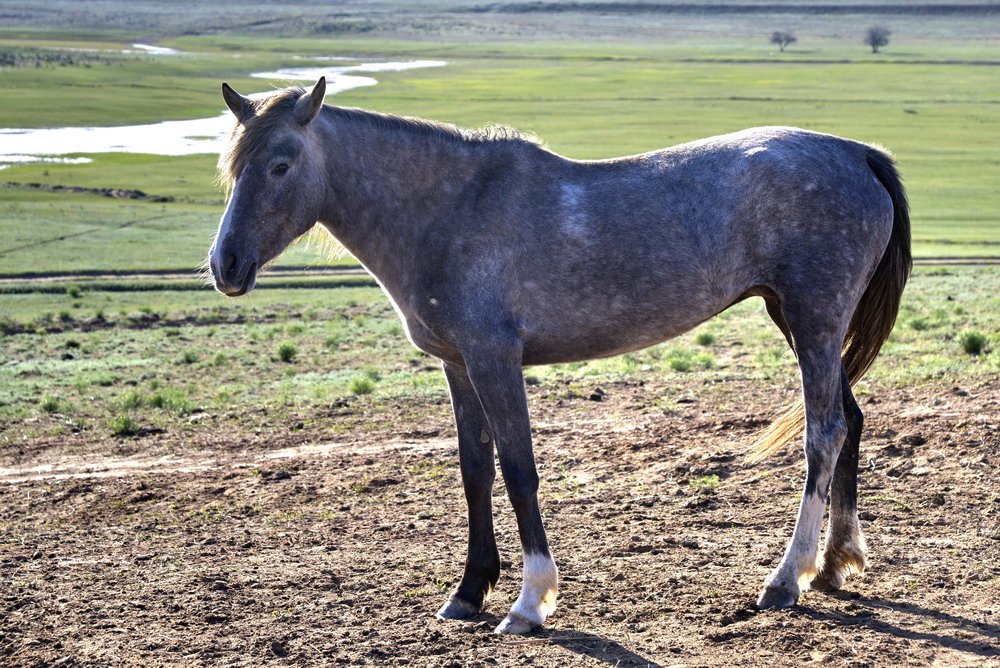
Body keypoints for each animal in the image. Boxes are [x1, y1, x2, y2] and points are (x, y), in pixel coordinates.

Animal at [207, 78, 912, 636]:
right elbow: (475, 472)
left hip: (814, 321)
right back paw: (836, 562)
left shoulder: (494, 359)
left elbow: (519, 470)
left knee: (823, 432)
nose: (225, 265)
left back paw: (786, 578)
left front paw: (529, 602)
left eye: (280, 164)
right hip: (799, 323)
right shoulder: (458, 366)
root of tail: (858, 154)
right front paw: (468, 592)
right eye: (233, 166)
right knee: (850, 421)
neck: (447, 212)